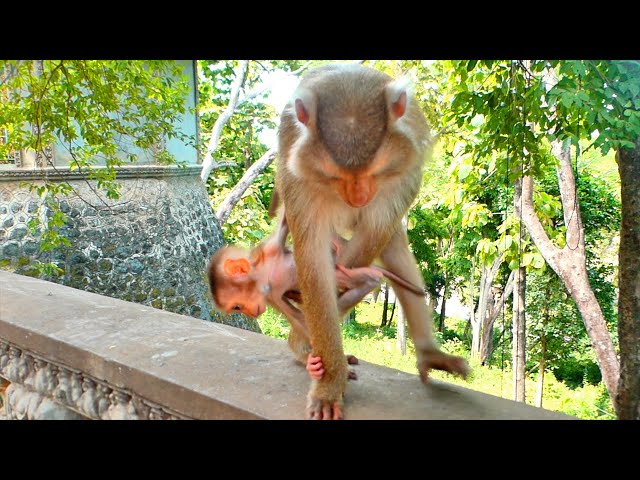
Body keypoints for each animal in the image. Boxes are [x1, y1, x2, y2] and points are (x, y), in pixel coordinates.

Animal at [208, 216, 424, 380]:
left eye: (237, 306)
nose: (251, 313)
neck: (266, 275)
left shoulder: (270, 252)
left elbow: (284, 226)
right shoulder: (270, 295)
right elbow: (298, 319)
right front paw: (311, 361)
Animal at [272, 63, 468, 420]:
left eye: (375, 171)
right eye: (335, 175)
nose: (358, 197)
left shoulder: (405, 169)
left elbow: (376, 231)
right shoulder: (297, 176)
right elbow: (314, 261)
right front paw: (329, 381)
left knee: (391, 245)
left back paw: (428, 353)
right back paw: (304, 345)